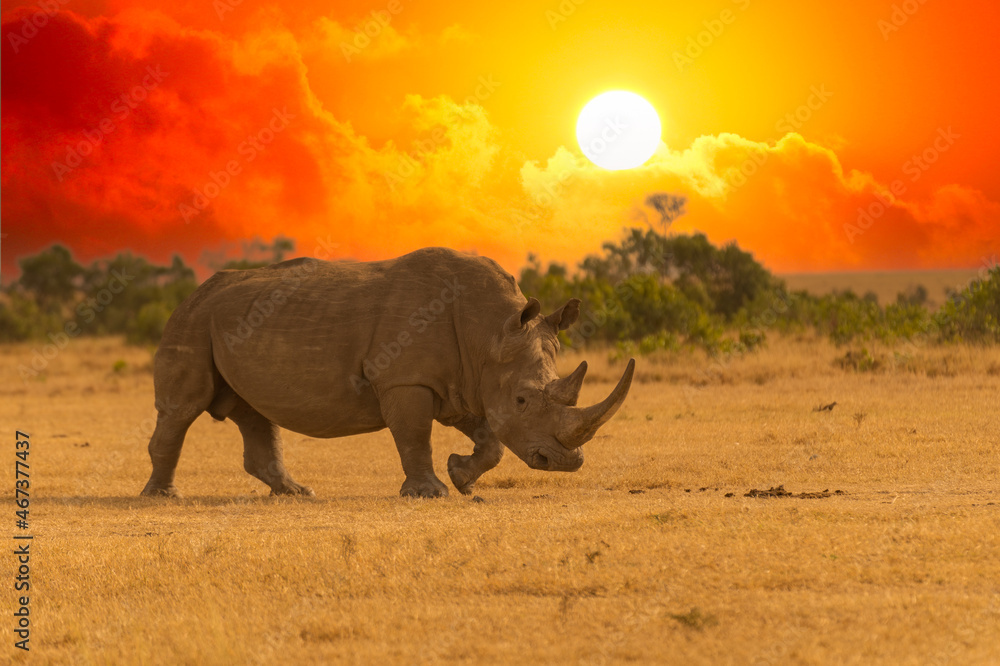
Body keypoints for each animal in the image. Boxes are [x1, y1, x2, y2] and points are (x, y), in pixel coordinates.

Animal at [140, 247, 635, 498]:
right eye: (522, 399)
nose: (565, 463)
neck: (491, 331)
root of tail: (193, 293)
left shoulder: (465, 381)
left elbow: (491, 439)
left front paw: (461, 476)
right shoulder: (406, 378)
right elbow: (414, 435)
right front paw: (430, 493)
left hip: (227, 320)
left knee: (253, 412)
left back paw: (297, 492)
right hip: (193, 319)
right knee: (183, 409)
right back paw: (163, 496)